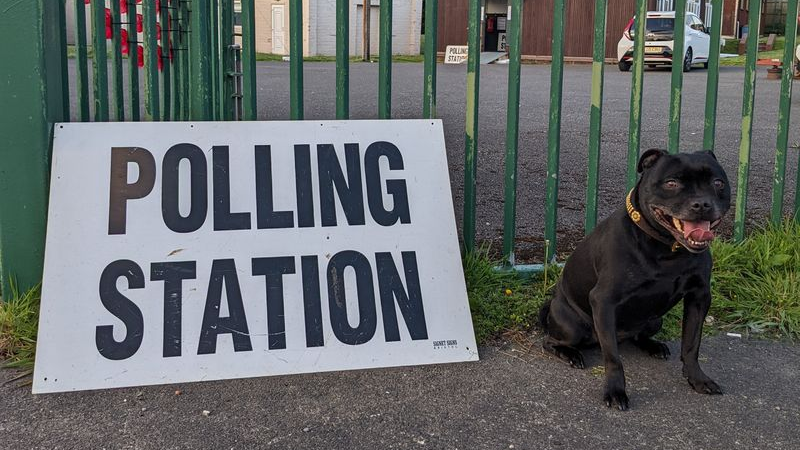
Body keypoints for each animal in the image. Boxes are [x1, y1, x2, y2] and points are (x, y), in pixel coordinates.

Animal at [536, 149, 732, 412]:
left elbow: (691, 344)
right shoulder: (604, 301)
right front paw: (615, 392)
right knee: (551, 341)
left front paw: (697, 379)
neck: (667, 247)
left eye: (718, 183)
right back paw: (571, 355)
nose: (702, 204)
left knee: (639, 336)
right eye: (672, 183)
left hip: (655, 320)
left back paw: (654, 346)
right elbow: (613, 358)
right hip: (573, 326)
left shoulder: (699, 297)